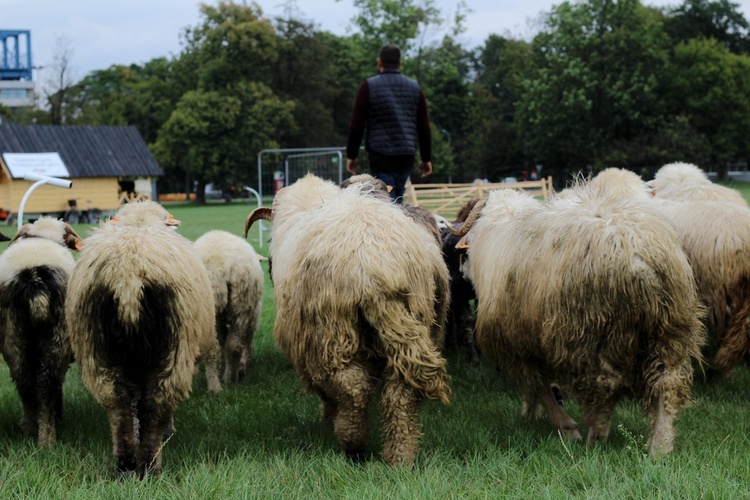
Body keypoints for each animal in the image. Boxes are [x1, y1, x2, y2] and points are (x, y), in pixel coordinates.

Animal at [0, 218, 81, 446]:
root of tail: (34, 279)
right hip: (58, 335)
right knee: (47, 385)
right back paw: (47, 438)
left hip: (13, 335)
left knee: (26, 383)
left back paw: (29, 428)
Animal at [66, 200, 220, 476]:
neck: (140, 224)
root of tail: (128, 275)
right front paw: (167, 430)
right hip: (175, 348)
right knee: (156, 403)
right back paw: (150, 464)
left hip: (95, 346)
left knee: (116, 403)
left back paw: (126, 464)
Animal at [194, 229, 264, 384]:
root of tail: (218, 269)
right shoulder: (253, 317)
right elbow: (242, 340)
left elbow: (223, 340)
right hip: (241, 306)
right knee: (234, 345)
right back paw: (230, 378)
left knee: (216, 345)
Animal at [245, 174, 452, 466]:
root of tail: (376, 269)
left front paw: (328, 414)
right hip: (415, 322)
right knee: (401, 394)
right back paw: (400, 458)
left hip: (331, 329)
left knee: (353, 387)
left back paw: (352, 442)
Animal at [456, 169, 708, 458]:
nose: (461, 272)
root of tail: (635, 253)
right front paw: (531, 413)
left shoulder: (517, 344)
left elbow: (540, 386)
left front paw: (563, 426)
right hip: (670, 328)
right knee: (667, 385)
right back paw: (660, 447)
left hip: (592, 333)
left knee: (607, 386)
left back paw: (595, 438)